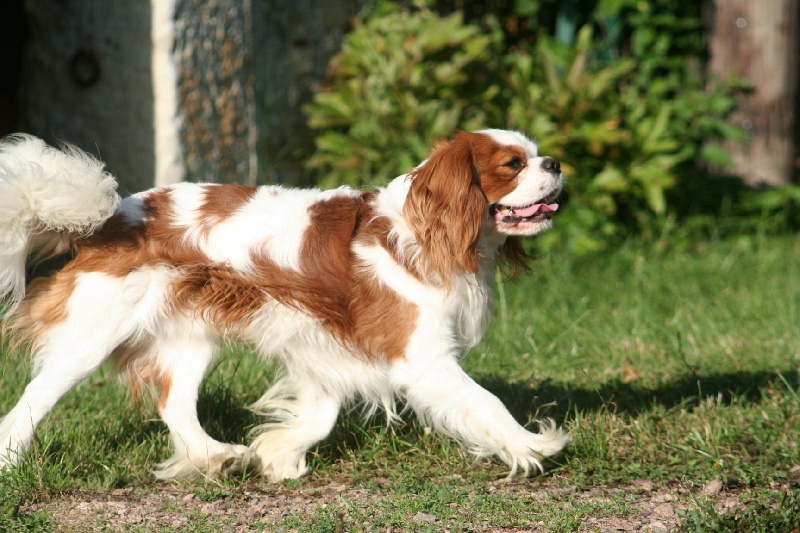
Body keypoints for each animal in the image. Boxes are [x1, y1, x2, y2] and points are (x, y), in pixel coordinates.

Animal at [1, 131, 576, 480]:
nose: (555, 162)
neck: (426, 231)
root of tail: (111, 220)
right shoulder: (425, 359)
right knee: (31, 401)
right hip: (90, 336)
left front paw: (276, 453)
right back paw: (11, 461)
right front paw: (533, 445)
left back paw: (215, 456)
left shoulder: (324, 345)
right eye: (513, 164)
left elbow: (320, 414)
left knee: (175, 402)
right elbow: (487, 402)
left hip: (191, 338)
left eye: (536, 154)